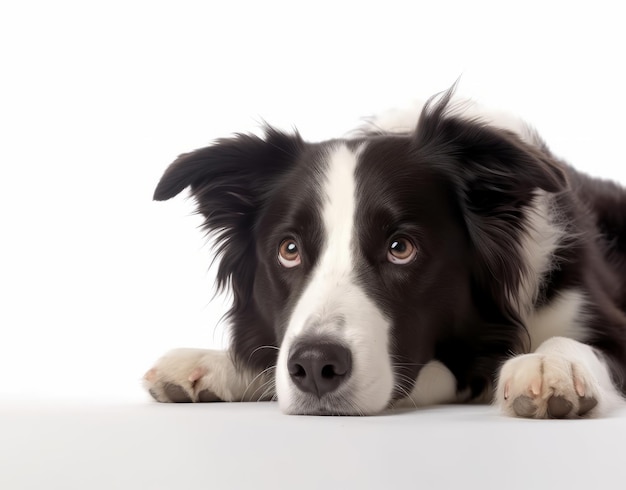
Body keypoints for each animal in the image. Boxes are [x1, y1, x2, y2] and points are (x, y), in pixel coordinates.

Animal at [143, 88, 624, 418]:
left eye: (400, 248)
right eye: (289, 249)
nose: (314, 365)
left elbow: (573, 342)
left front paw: (550, 363)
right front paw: (210, 362)